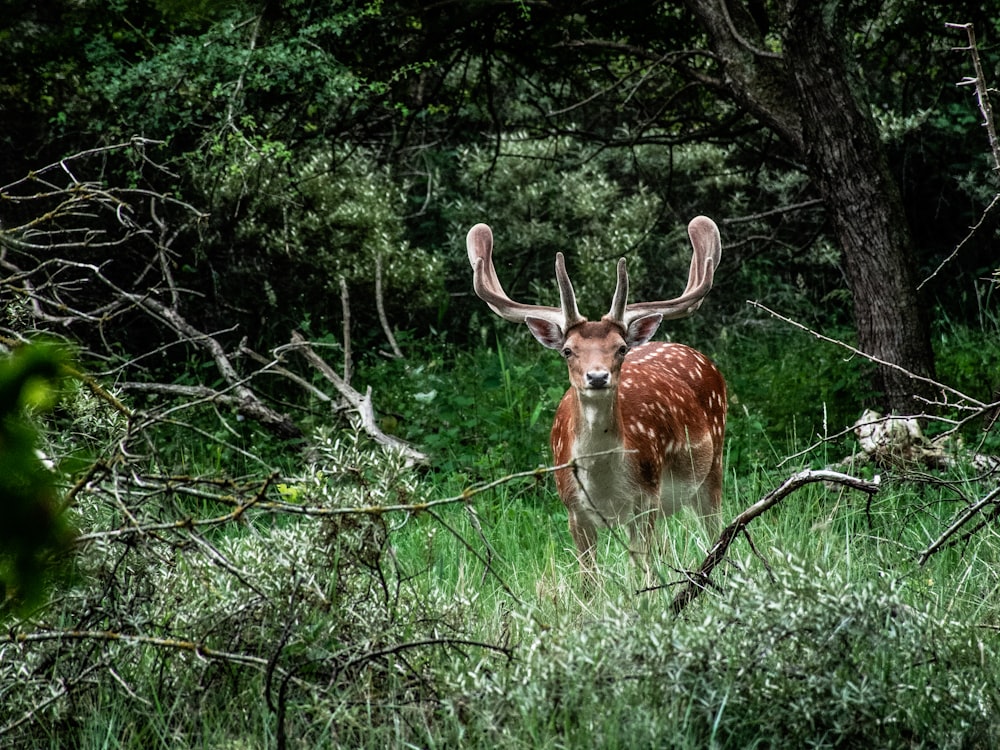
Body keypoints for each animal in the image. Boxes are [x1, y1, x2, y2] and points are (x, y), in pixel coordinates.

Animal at [468, 217, 728, 580]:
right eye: (567, 350)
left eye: (621, 348)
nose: (597, 377)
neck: (603, 483)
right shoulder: (573, 508)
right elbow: (589, 580)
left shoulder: (645, 498)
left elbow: (641, 574)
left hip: (712, 467)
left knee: (716, 534)